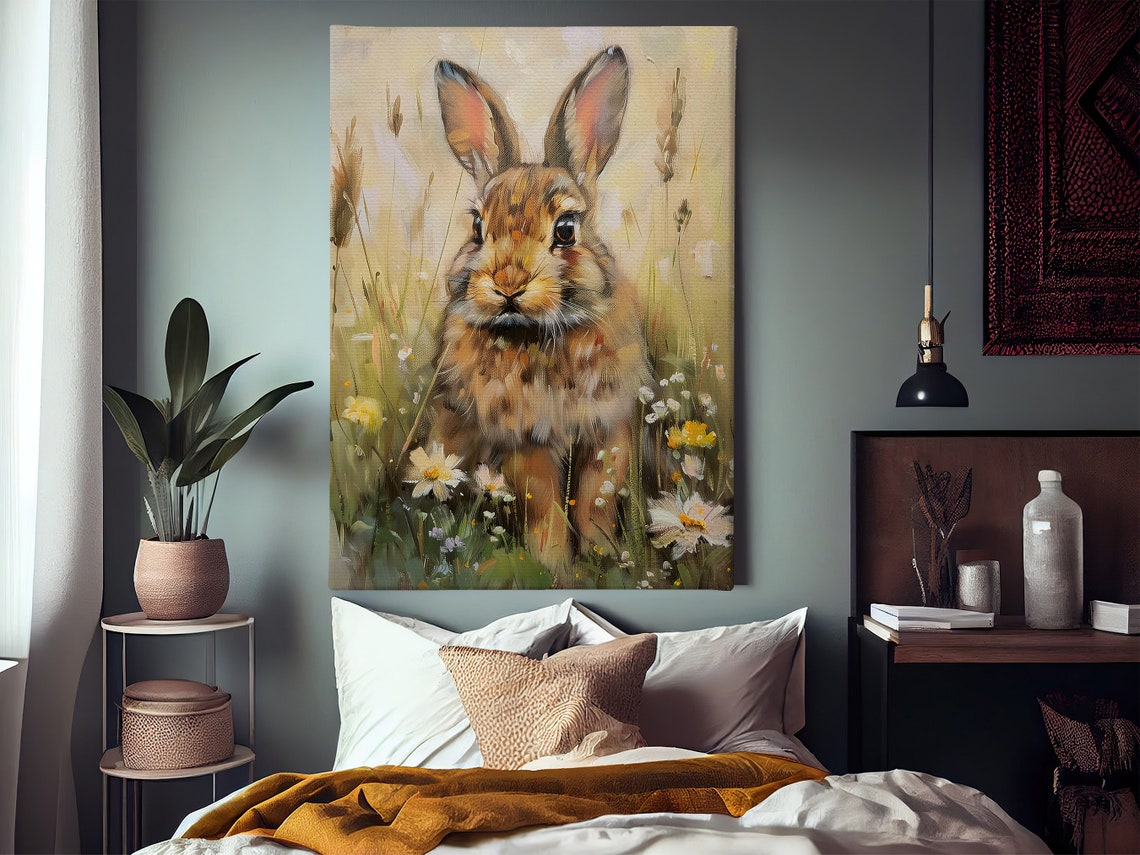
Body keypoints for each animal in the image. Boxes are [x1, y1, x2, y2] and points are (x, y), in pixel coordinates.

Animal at [430, 46, 651, 580]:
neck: (541, 334)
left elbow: (594, 502)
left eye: (567, 228)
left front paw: (603, 559)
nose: (508, 284)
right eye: (476, 226)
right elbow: (545, 510)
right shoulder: (523, 443)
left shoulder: (606, 432)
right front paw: (556, 570)